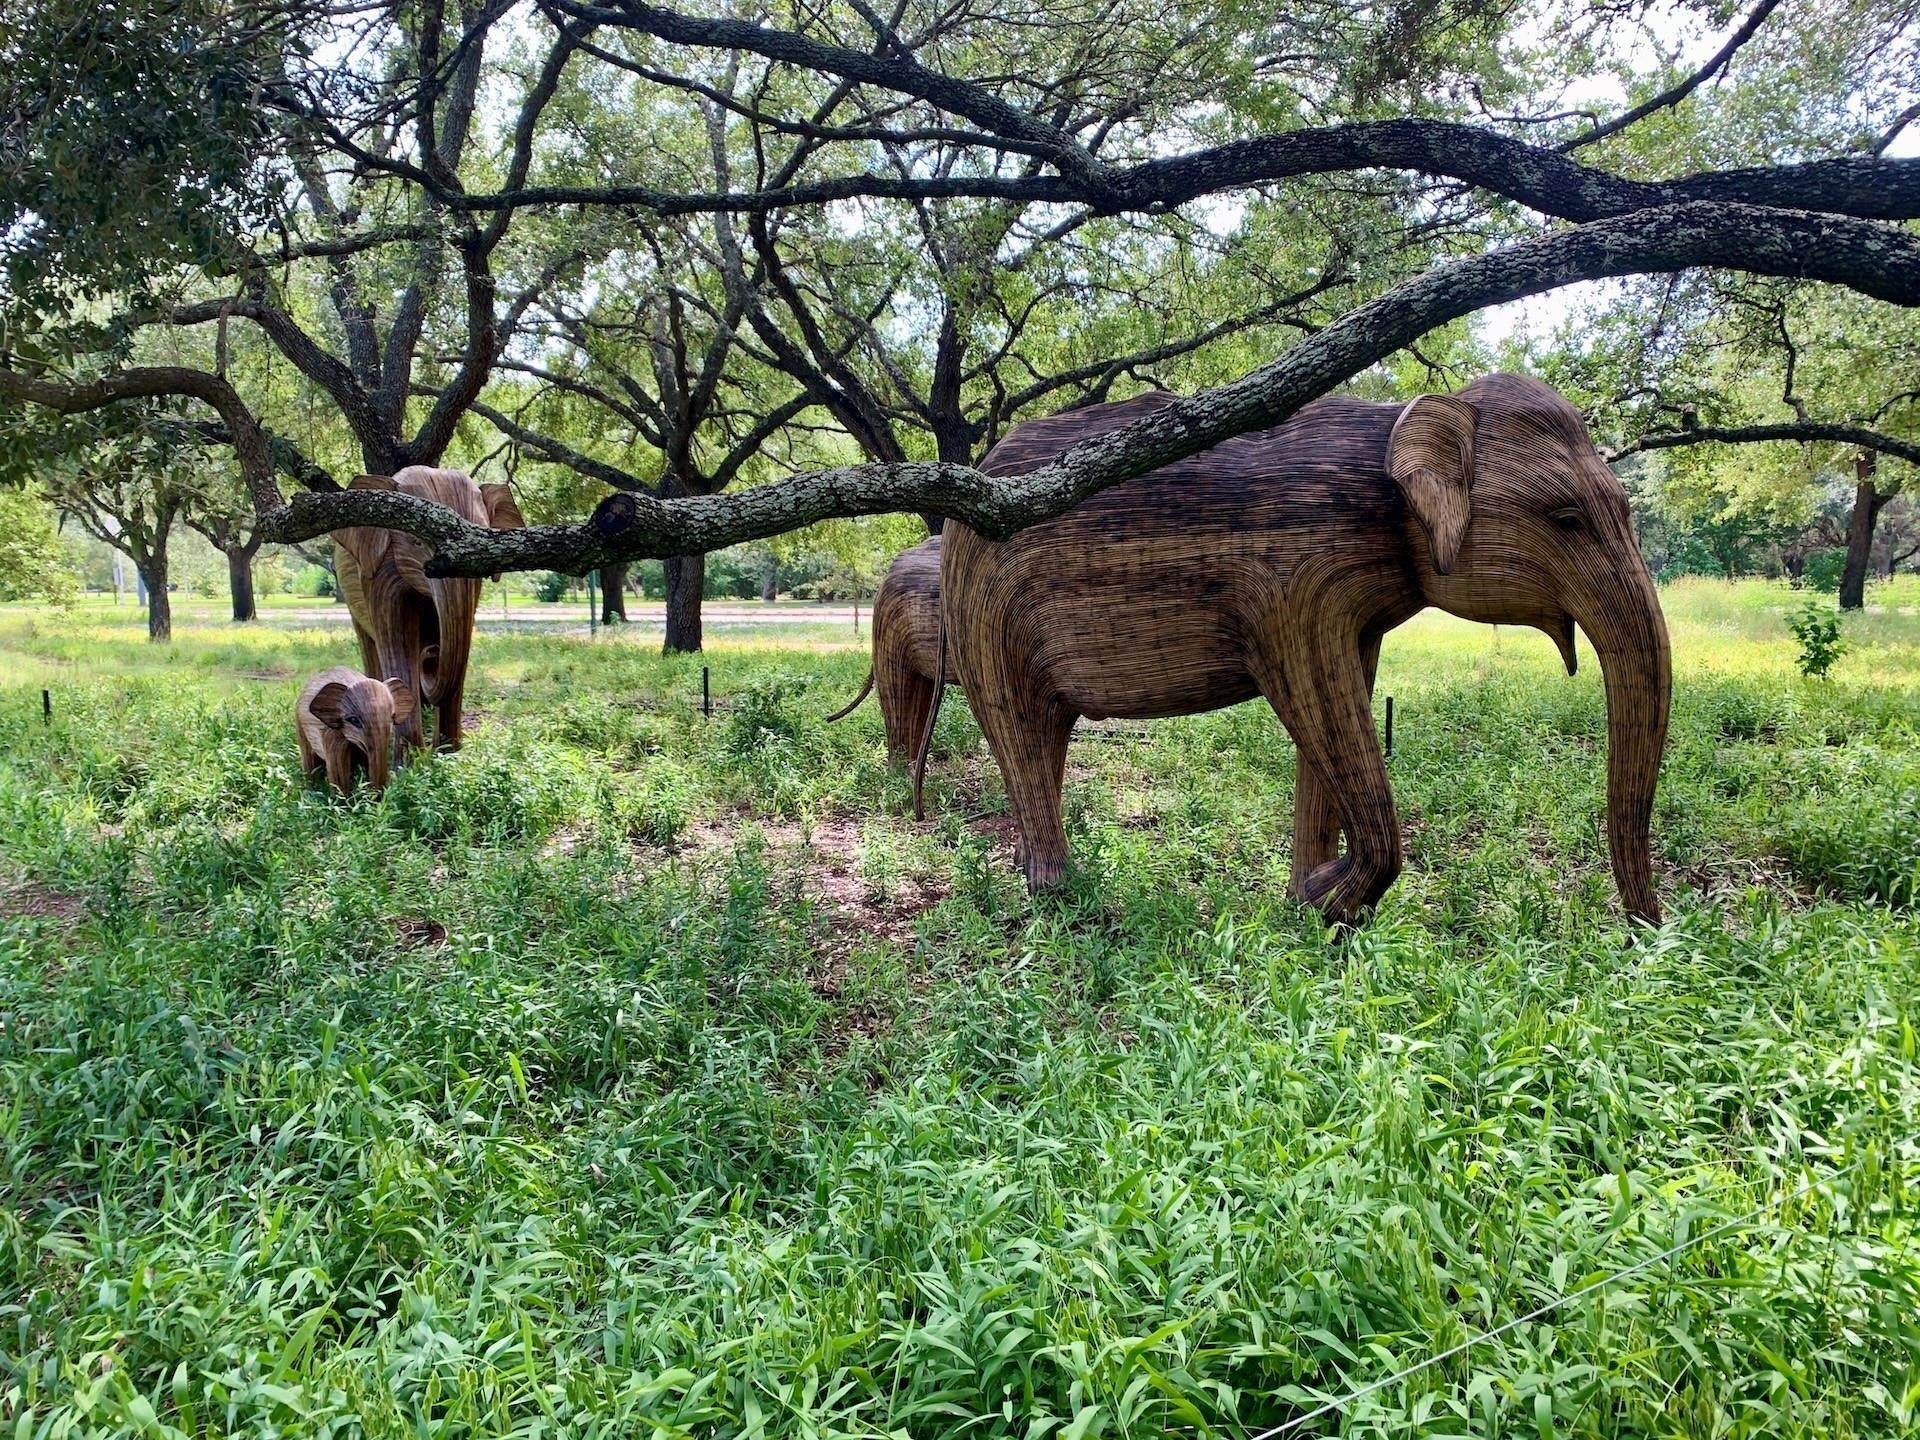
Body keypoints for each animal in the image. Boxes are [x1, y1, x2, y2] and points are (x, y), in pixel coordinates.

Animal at [295, 667, 413, 795]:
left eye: (392, 716)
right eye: (353, 720)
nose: (378, 797)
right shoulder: (333, 735)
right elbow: (339, 771)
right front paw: (343, 800)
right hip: (299, 726)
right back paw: (310, 791)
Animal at [333, 466, 525, 753]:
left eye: (483, 542)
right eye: (416, 541)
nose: (432, 653)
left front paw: (448, 753)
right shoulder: (379, 572)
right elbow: (398, 642)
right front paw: (410, 758)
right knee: (369, 643)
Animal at [942, 374, 1671, 925]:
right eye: (1567, 518)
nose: (1647, 931)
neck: (1392, 425)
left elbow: (1346, 693)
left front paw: (1309, 905)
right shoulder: (1292, 580)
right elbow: (1312, 694)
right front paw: (1331, 899)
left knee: (1044, 736)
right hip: (984, 612)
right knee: (1020, 727)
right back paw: (1059, 898)